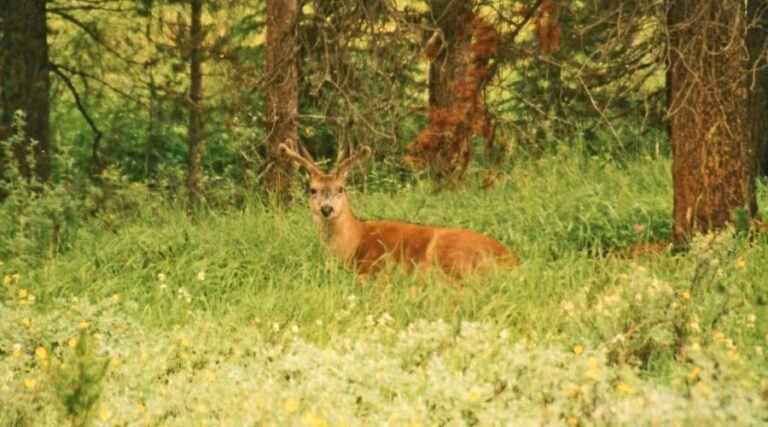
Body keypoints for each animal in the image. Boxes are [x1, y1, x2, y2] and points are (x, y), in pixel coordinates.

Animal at [280, 142, 520, 280]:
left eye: (341, 188)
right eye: (312, 189)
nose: (327, 209)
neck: (354, 240)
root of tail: (512, 261)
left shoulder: (372, 266)